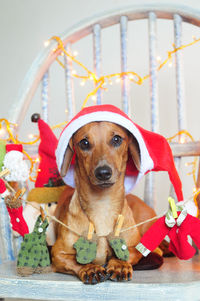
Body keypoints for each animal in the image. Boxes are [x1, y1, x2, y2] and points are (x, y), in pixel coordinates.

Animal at [51, 120, 159, 282]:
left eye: (116, 139)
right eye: (84, 143)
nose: (103, 173)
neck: (102, 205)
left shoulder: (136, 247)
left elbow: (127, 253)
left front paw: (119, 264)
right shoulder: (58, 254)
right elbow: (74, 261)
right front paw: (89, 268)